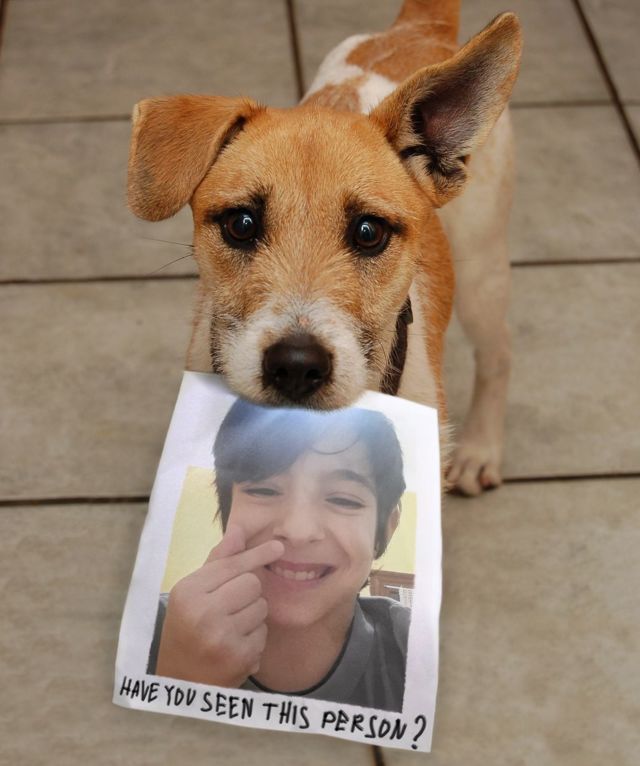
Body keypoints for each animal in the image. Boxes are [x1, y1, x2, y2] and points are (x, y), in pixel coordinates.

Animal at [127, 0, 522, 496]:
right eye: (241, 224)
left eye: (369, 232)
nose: (296, 366)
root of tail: (421, 27)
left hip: (481, 272)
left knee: (499, 352)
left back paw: (479, 449)